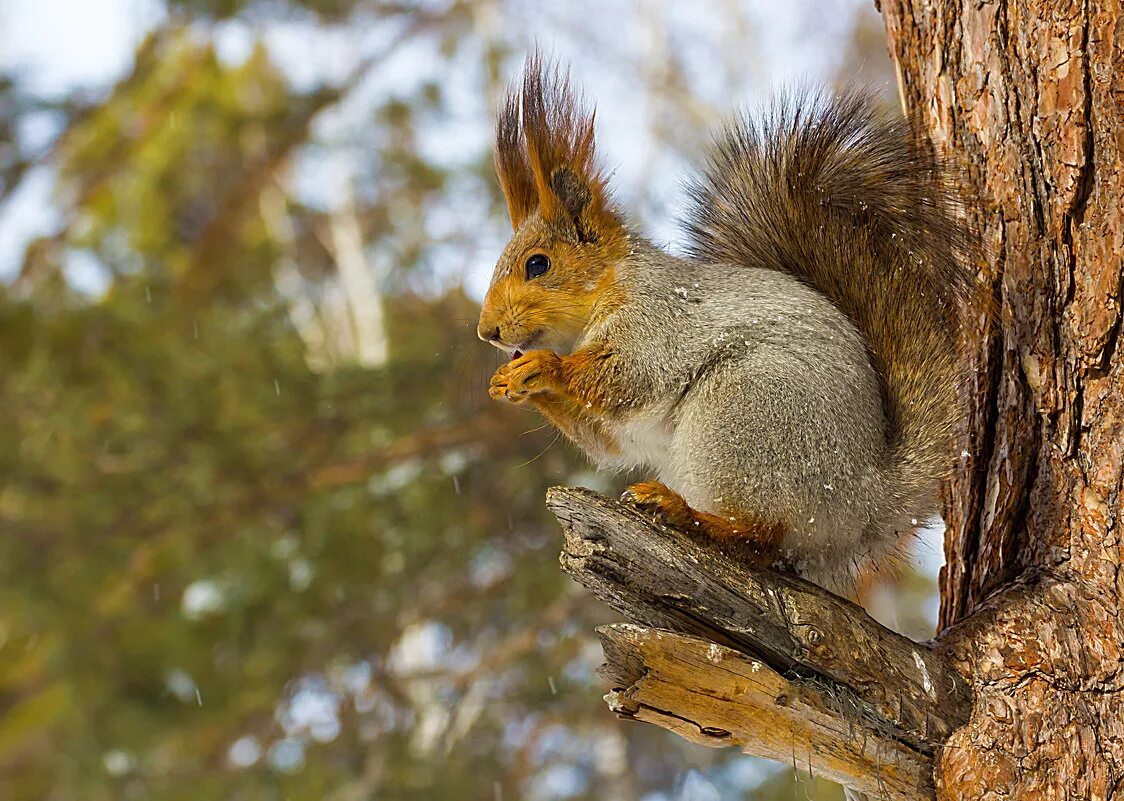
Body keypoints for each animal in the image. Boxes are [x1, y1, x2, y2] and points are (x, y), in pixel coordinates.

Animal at [478, 54, 980, 579]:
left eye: (538, 264)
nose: (487, 331)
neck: (600, 299)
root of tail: (864, 499)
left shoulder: (655, 316)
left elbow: (628, 375)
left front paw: (542, 366)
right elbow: (606, 441)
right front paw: (507, 382)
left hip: (743, 412)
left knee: (759, 536)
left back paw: (686, 513)